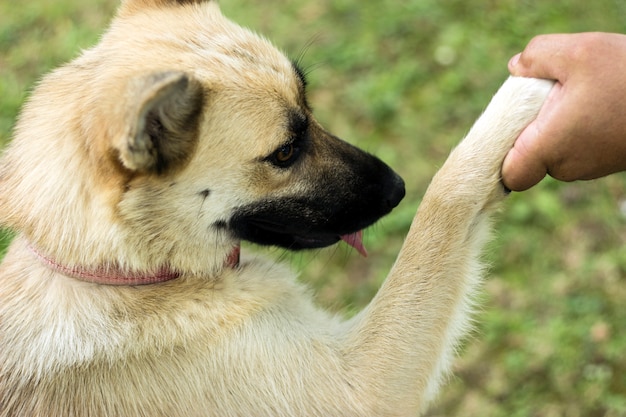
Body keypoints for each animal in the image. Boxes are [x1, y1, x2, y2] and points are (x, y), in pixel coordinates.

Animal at [0, 0, 552, 416]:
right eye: (284, 153)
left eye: (309, 107)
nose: (396, 189)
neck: (119, 274)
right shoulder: (362, 388)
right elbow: (445, 197)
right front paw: (530, 89)